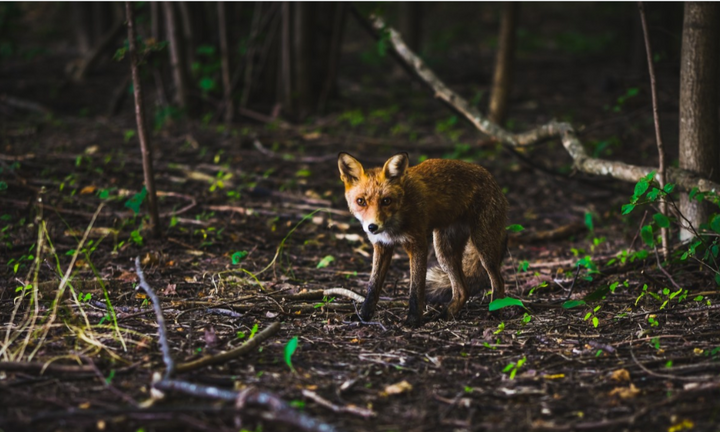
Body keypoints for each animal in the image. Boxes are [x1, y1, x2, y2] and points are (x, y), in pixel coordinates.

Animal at [338, 153, 506, 328]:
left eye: (386, 201)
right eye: (361, 201)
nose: (372, 227)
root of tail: (491, 177)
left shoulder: (417, 245)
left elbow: (416, 290)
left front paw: (412, 320)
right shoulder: (382, 246)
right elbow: (372, 287)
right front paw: (363, 316)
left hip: (483, 247)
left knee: (499, 281)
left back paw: (494, 312)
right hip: (444, 252)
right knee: (462, 291)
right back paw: (444, 315)